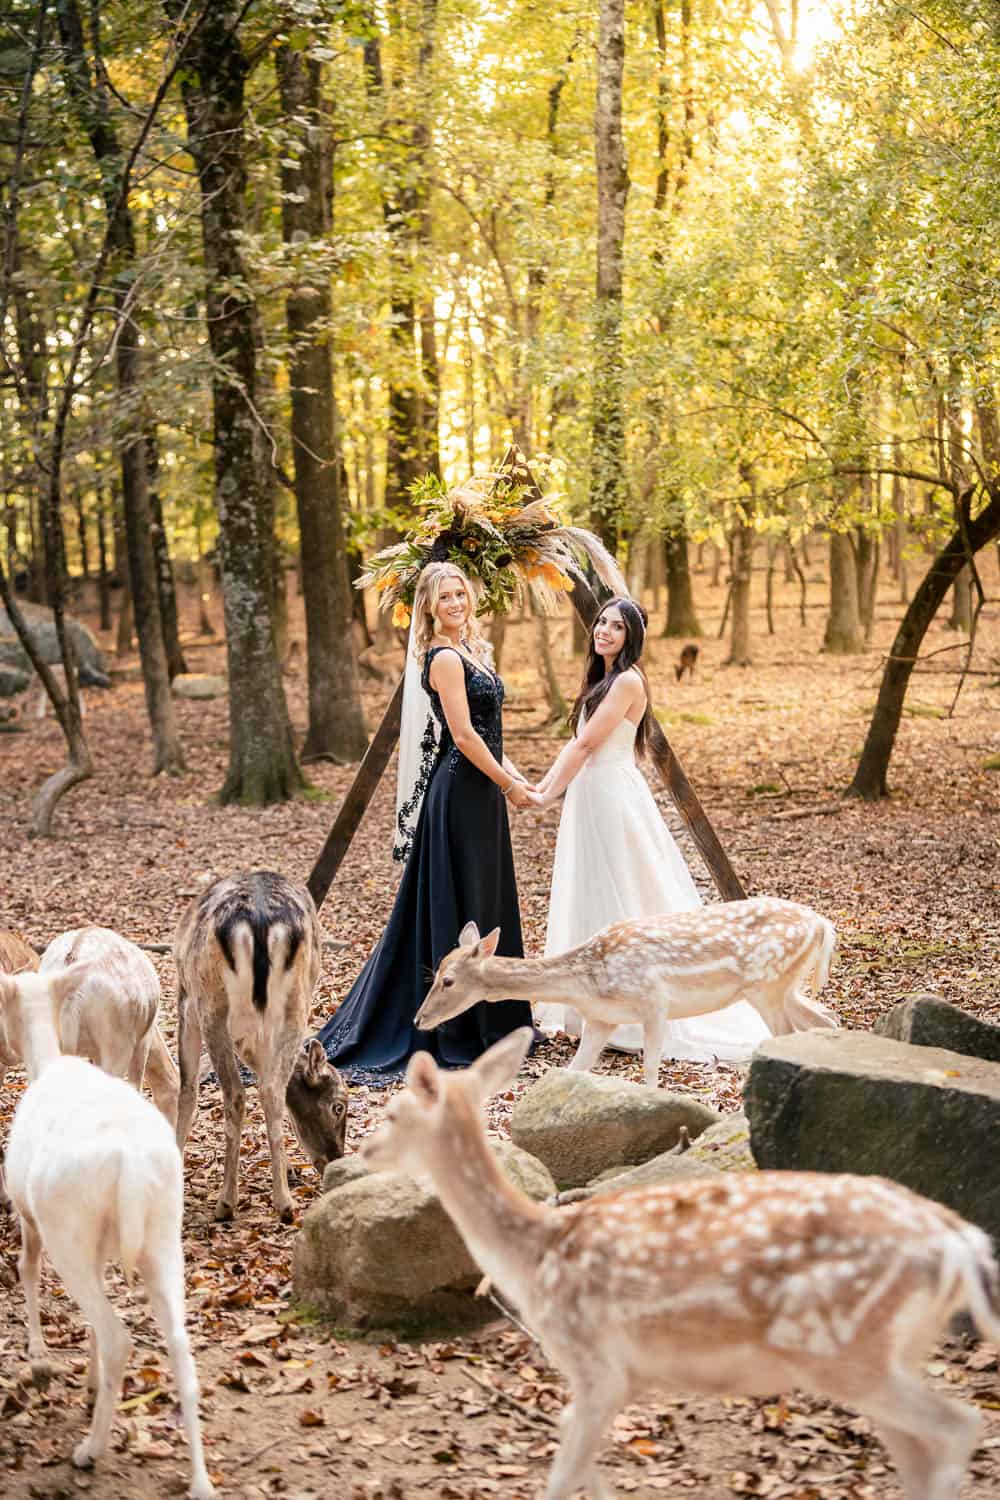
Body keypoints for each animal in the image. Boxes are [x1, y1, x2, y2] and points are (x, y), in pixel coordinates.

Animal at [364, 1032, 1000, 1500]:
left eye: (394, 1113)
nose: (366, 1150)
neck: (535, 1259)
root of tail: (960, 1243)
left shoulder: (596, 1362)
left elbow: (562, 1474)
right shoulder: (616, 1379)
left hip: (846, 1350)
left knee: (959, 1426)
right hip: (889, 1353)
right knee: (922, 1452)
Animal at [413, 894, 839, 1086]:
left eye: (448, 980)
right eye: (434, 972)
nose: (418, 1019)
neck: (587, 984)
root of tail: (821, 924)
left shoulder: (654, 1002)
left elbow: (650, 1066)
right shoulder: (601, 1021)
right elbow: (575, 1069)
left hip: (768, 984)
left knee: (789, 1034)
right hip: (785, 987)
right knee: (826, 1020)